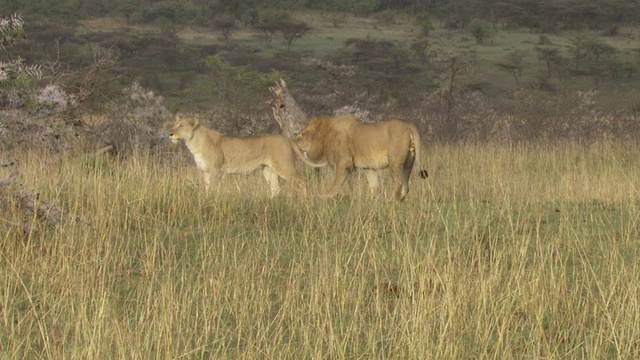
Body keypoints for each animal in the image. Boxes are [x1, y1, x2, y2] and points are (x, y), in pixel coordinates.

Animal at [169, 114, 308, 197]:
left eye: (180, 126)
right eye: (174, 125)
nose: (170, 134)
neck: (194, 142)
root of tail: (287, 138)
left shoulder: (215, 170)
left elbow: (213, 189)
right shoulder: (206, 172)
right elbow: (207, 189)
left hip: (285, 166)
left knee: (302, 181)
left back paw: (303, 200)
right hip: (269, 170)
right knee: (276, 188)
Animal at [296, 114, 430, 201]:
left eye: (302, 135)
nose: (295, 142)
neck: (326, 136)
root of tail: (409, 124)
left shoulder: (344, 162)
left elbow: (336, 183)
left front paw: (324, 197)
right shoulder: (369, 167)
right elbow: (373, 186)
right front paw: (370, 201)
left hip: (394, 162)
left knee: (399, 183)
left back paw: (392, 201)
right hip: (409, 162)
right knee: (406, 186)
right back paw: (400, 200)